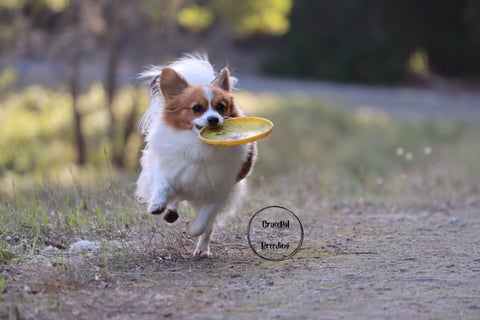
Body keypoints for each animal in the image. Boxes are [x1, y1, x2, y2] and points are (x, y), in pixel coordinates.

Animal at [135, 53, 256, 256]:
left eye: (221, 107)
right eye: (197, 108)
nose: (213, 119)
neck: (198, 144)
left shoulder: (219, 191)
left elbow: (203, 222)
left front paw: (192, 229)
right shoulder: (167, 170)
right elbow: (162, 186)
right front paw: (157, 205)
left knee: (208, 225)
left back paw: (202, 248)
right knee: (175, 196)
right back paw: (170, 210)